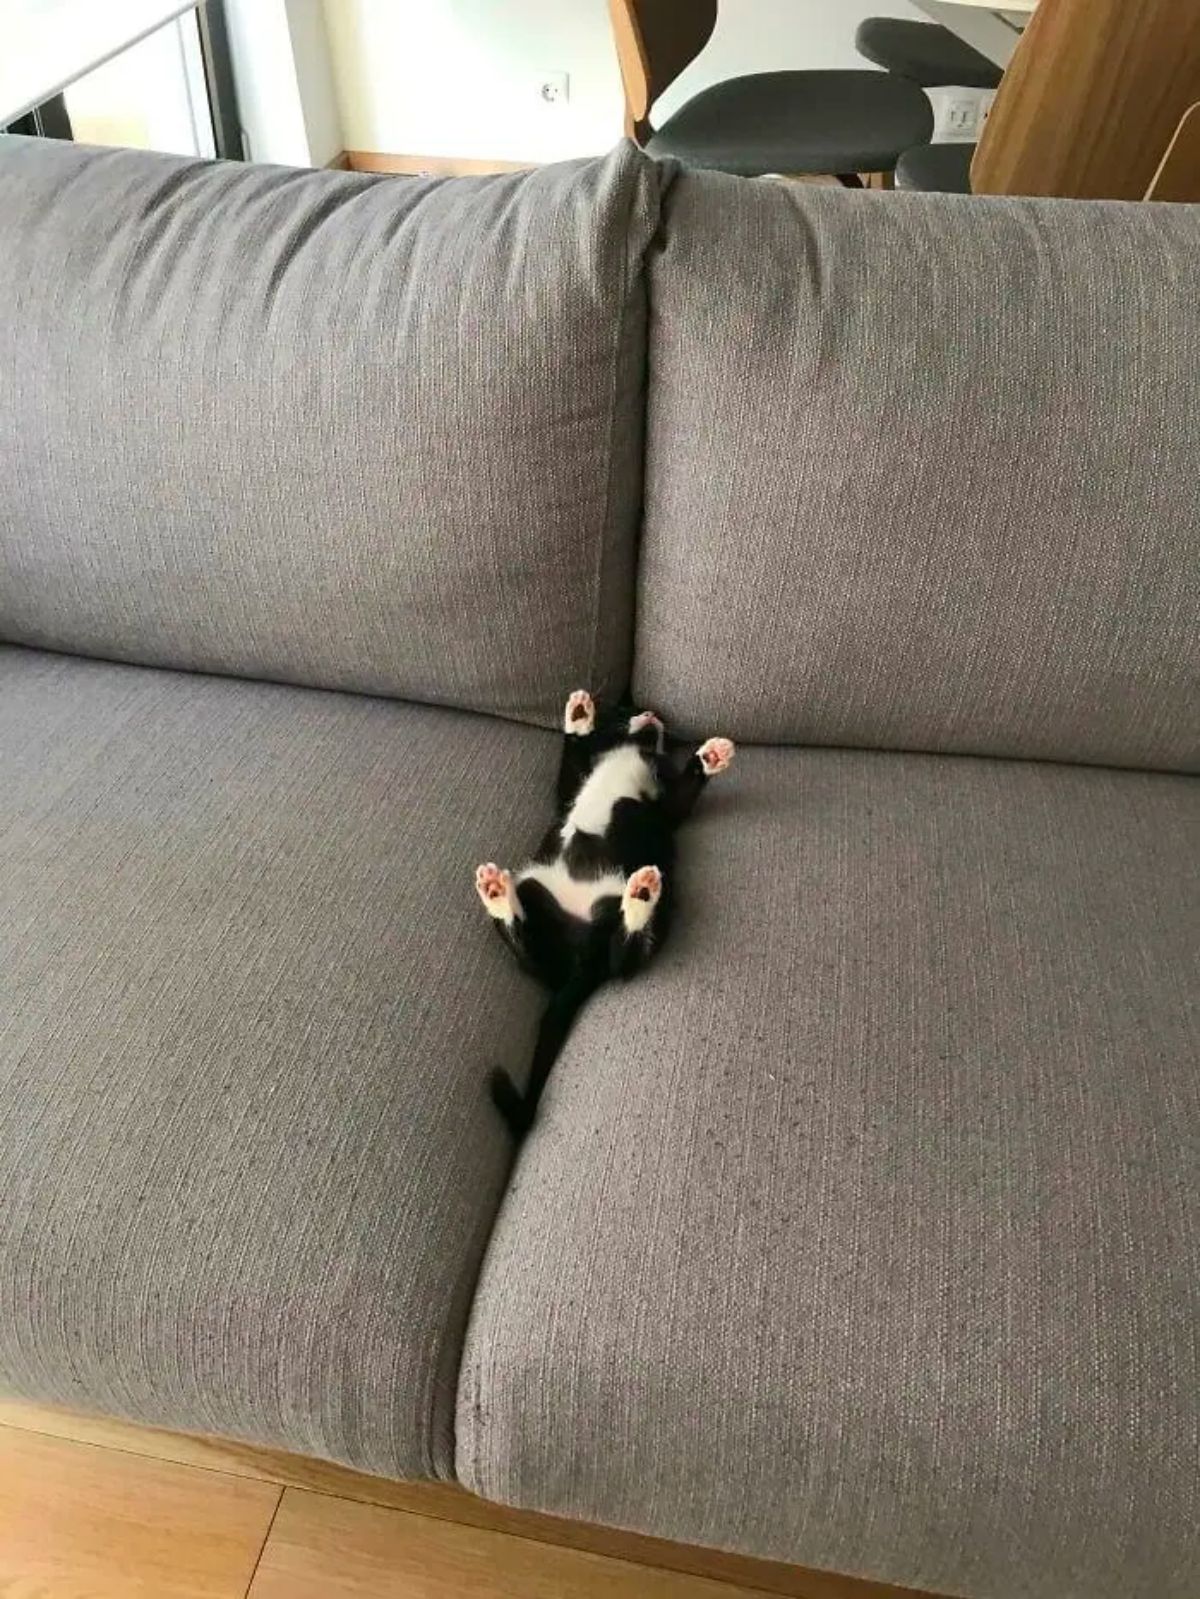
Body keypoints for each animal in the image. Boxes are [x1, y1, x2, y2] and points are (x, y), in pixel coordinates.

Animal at [476, 687, 739, 1138]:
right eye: (626, 709)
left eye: (650, 713)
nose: (650, 713)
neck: (628, 751)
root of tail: (585, 951)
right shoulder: (570, 790)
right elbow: (567, 776)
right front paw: (579, 715)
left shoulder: (665, 806)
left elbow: (681, 802)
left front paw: (711, 756)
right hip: (536, 885)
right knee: (533, 954)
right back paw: (497, 893)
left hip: (651, 909)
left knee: (624, 961)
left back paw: (640, 897)